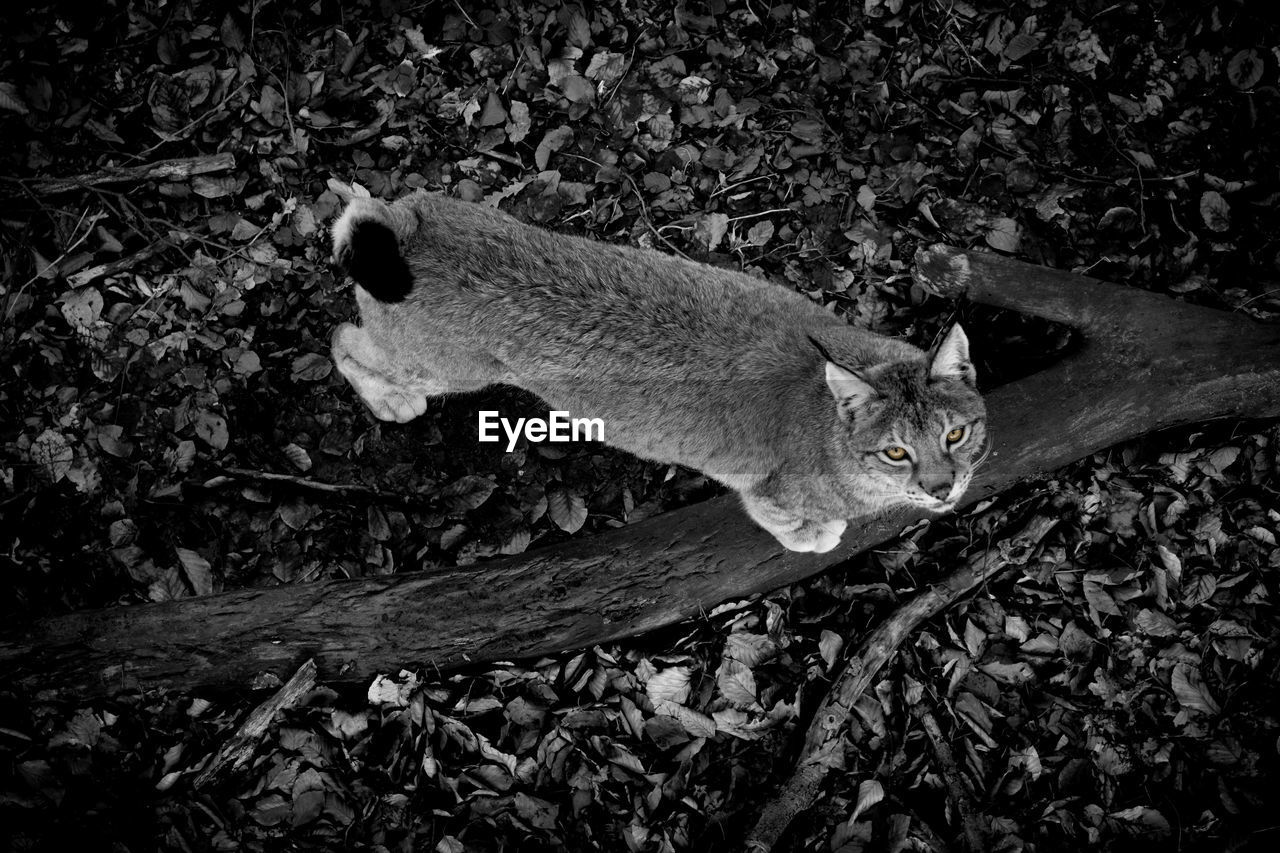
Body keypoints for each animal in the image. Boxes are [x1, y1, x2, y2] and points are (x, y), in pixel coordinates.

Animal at [325, 189, 983, 550]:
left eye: (956, 434)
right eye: (895, 452)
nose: (942, 490)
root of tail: (405, 225)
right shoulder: (765, 492)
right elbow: (785, 521)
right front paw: (815, 537)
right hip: (443, 368)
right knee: (343, 336)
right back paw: (390, 400)